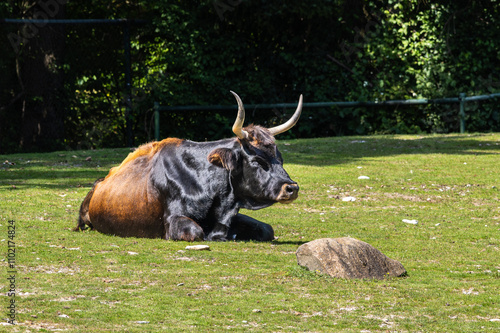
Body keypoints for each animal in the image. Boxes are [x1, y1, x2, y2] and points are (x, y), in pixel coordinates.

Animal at [73, 91, 302, 241]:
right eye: (256, 161)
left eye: (280, 159)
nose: (292, 188)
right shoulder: (174, 220)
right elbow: (195, 232)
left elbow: (267, 229)